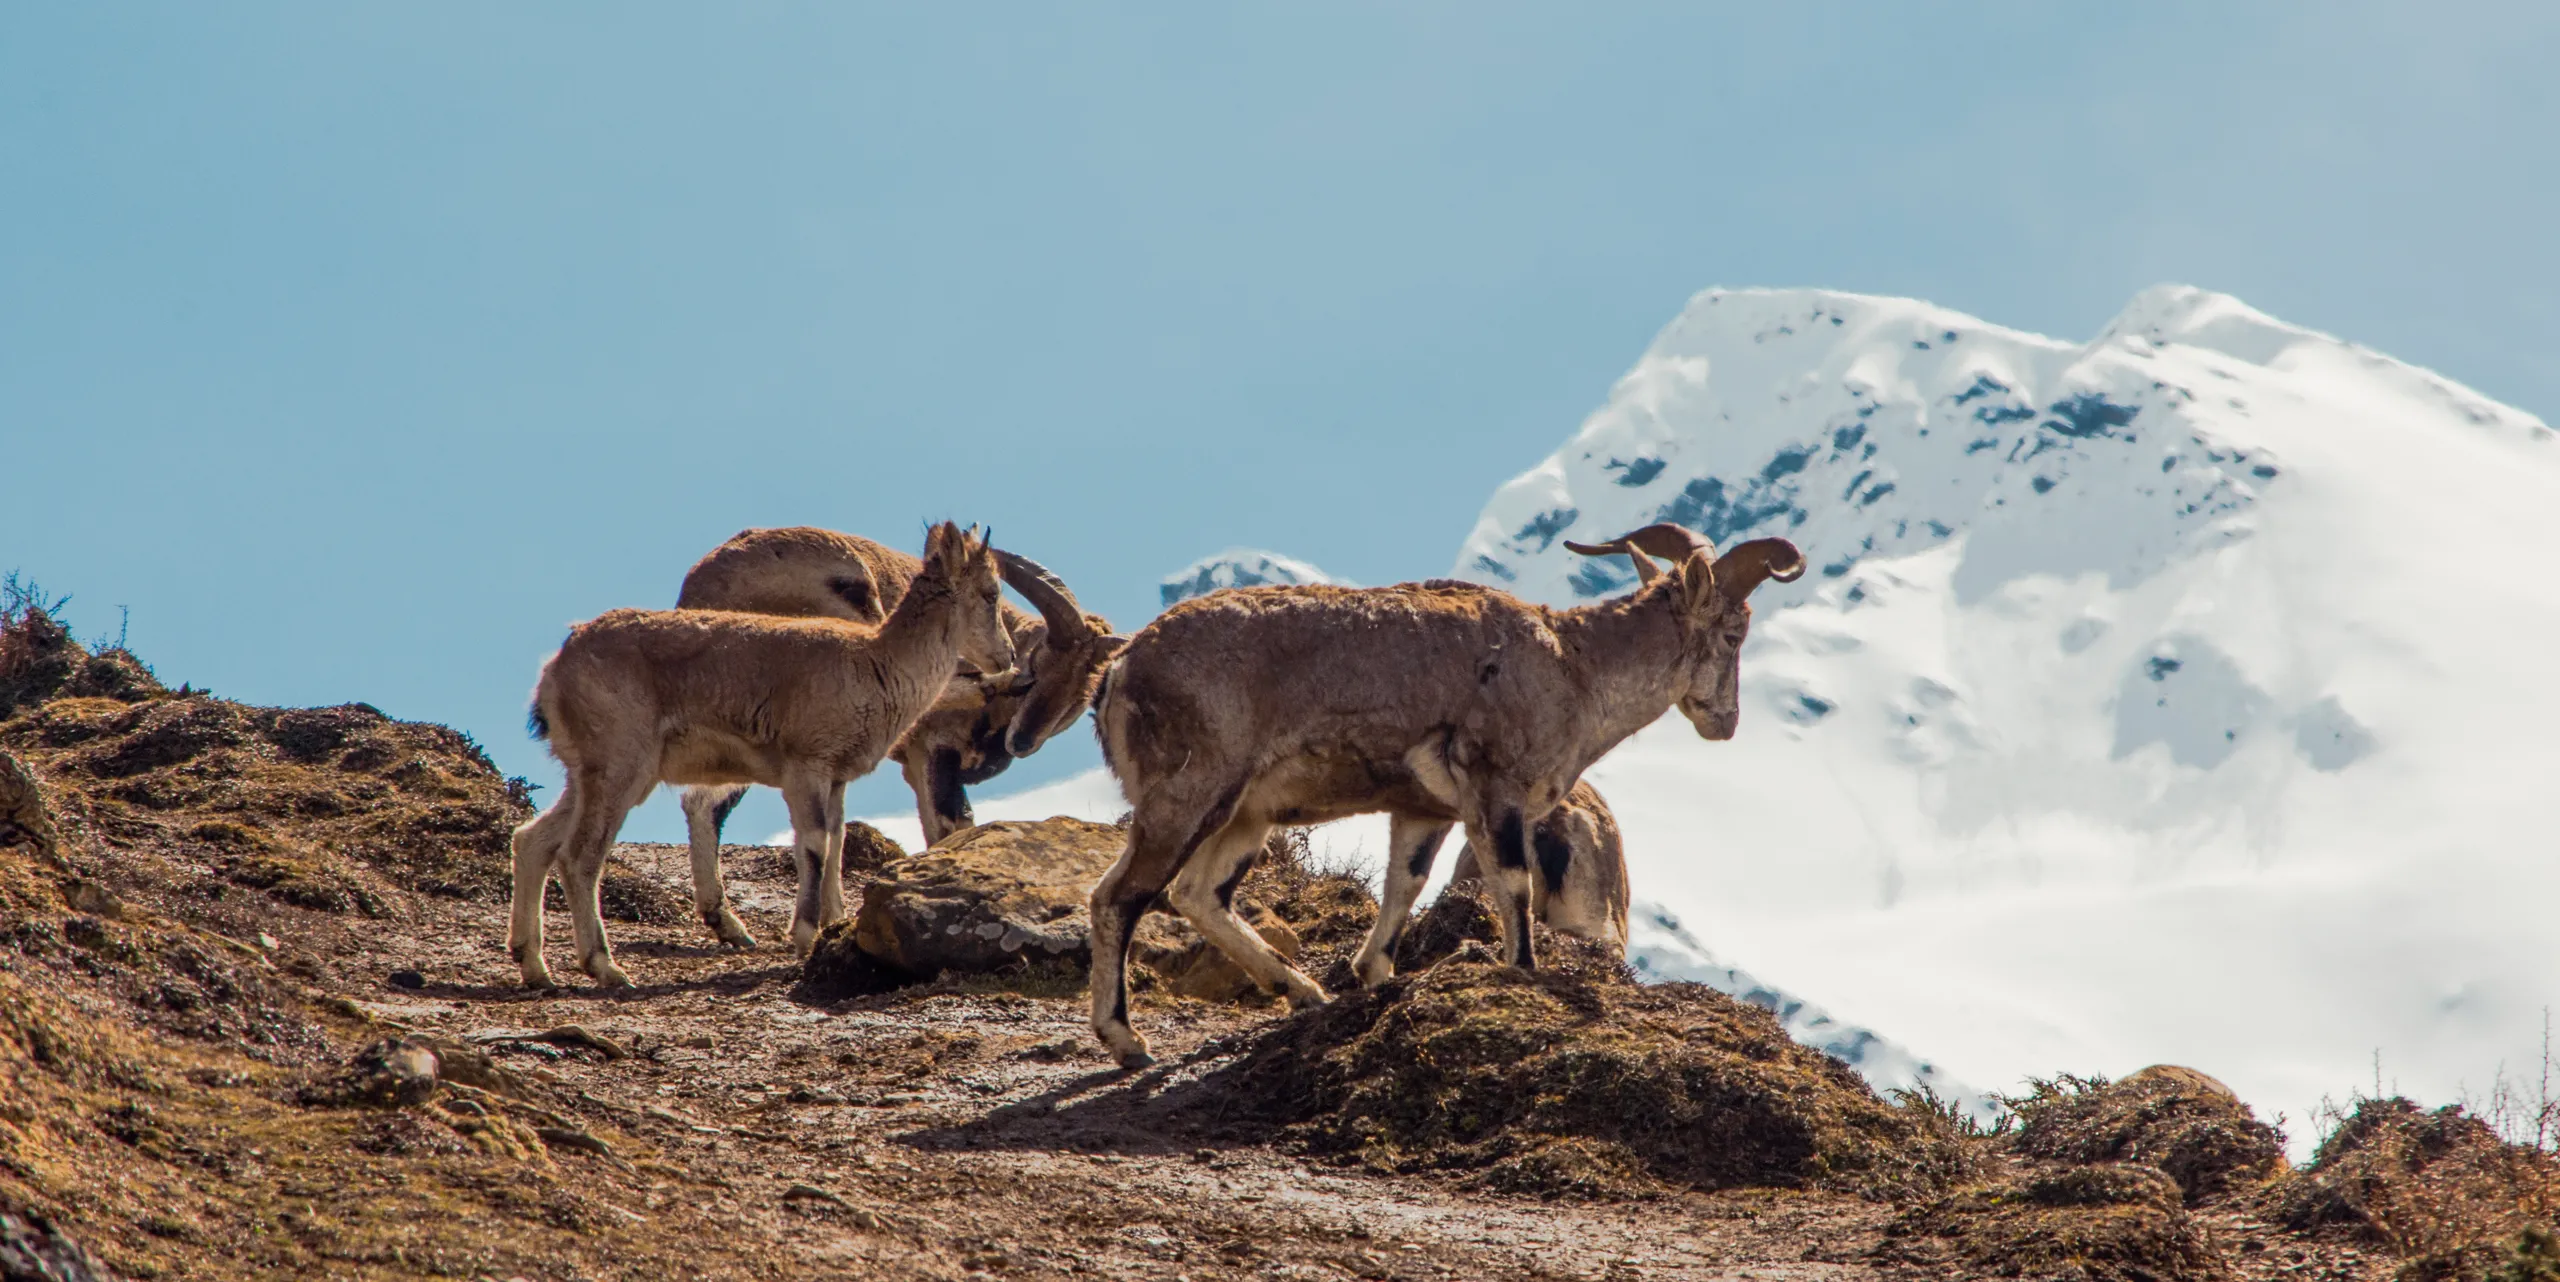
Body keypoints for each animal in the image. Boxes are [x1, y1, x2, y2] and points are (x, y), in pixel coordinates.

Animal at [509, 522, 1013, 989]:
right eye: (990, 593)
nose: (1005, 656)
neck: (876, 663)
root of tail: (555, 670)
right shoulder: (806, 766)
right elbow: (814, 845)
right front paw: (806, 936)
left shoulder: (835, 778)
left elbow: (836, 843)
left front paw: (830, 926)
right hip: (622, 767)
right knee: (579, 856)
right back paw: (605, 967)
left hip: (588, 773)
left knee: (533, 839)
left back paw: (534, 967)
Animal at [669, 526, 1123, 947]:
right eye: (1040, 659)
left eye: (1083, 694)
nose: (1023, 741)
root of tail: (706, 583)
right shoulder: (935, 751)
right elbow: (952, 823)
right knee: (707, 801)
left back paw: (738, 923)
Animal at [1083, 523, 1803, 1066]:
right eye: (1734, 634)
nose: (1724, 721)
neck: (1573, 669)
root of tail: (1120, 671)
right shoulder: (1496, 792)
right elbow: (1512, 888)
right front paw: (1520, 972)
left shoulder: (1422, 812)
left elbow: (1404, 886)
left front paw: (1375, 978)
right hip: (1189, 797)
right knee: (1120, 898)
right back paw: (1127, 1040)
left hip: (1245, 817)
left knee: (1198, 894)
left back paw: (1304, 991)